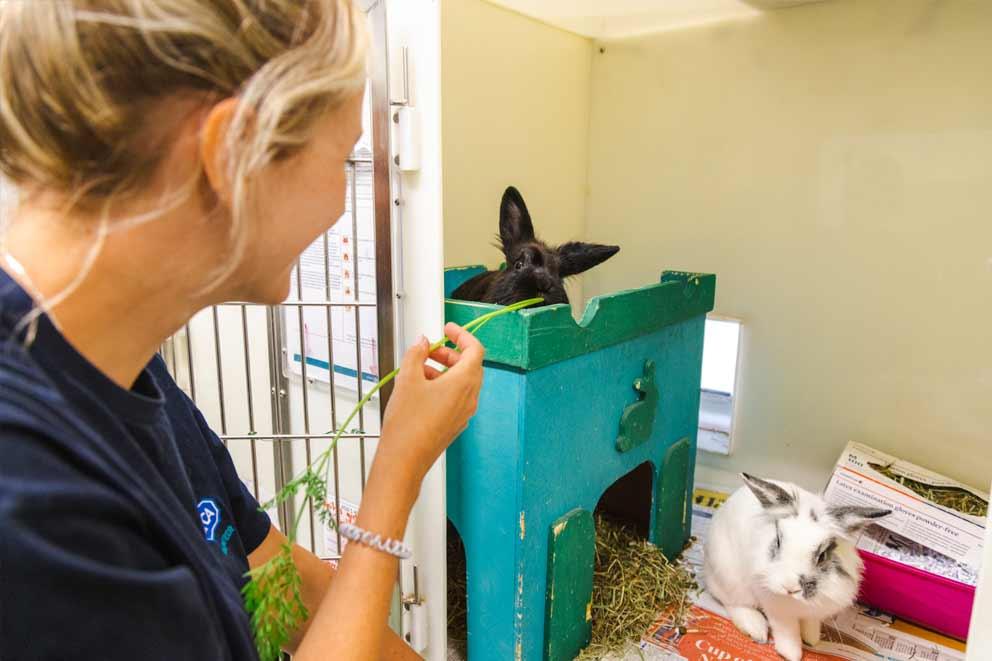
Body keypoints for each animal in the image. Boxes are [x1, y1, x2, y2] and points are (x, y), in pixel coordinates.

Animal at [704, 474, 892, 660]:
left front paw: (813, 638)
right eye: (778, 542)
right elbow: (787, 630)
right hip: (728, 577)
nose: (790, 588)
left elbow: (810, 622)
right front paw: (792, 653)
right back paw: (755, 629)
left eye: (822, 556)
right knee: (730, 601)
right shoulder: (776, 608)